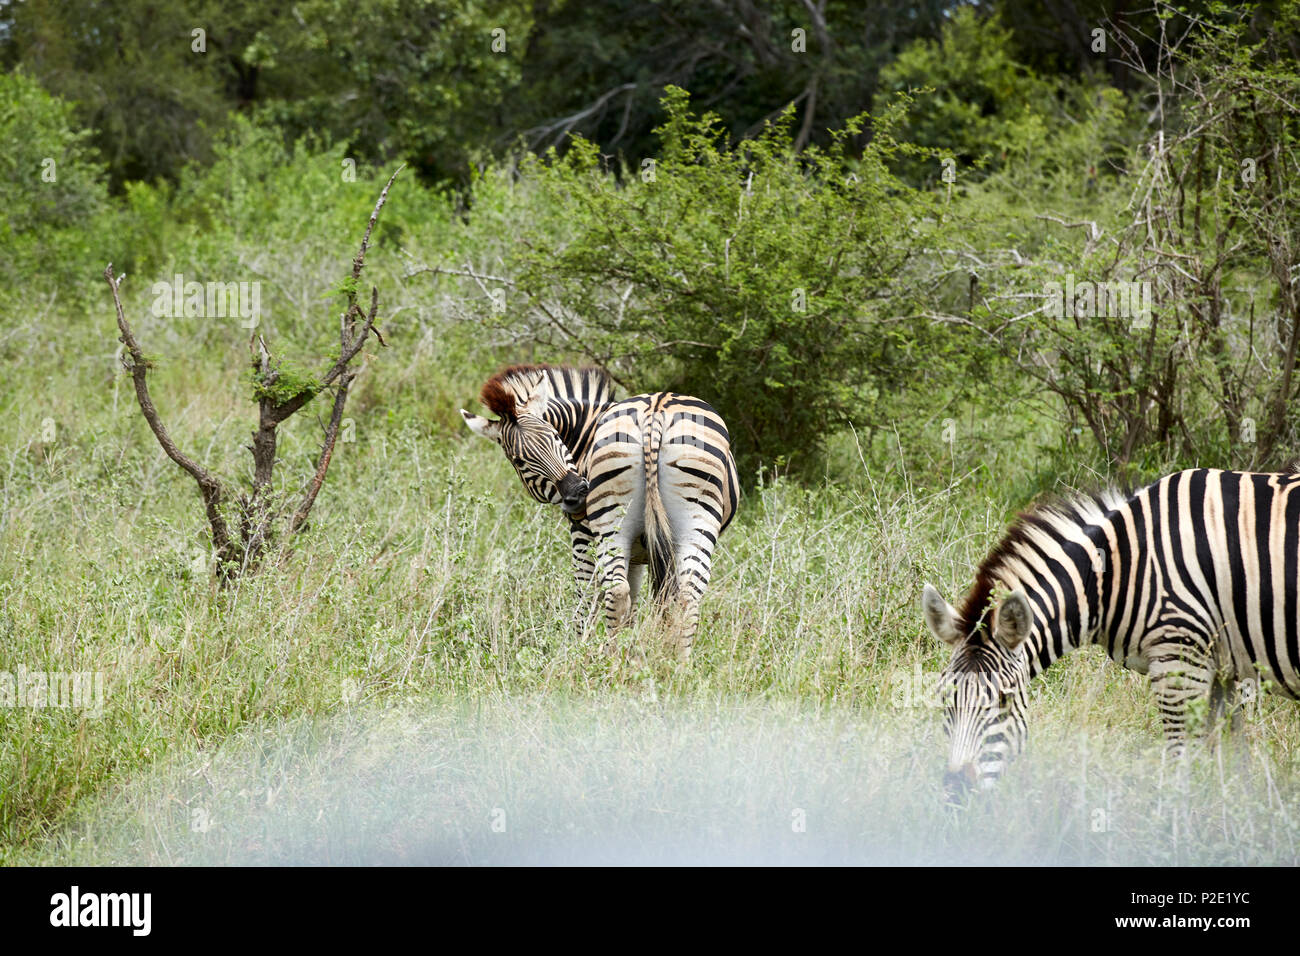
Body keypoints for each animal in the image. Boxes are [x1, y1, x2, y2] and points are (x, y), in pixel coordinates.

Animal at [462, 364, 738, 658]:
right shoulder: (642, 548)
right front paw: (641, 645)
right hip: (689, 522)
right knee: (683, 595)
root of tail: (655, 412)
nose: (579, 493)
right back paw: (673, 664)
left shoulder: (584, 531)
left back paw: (611, 660)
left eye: (556, 437)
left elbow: (592, 595)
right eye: (519, 460)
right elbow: (642, 600)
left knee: (609, 591)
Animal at [920, 468, 1300, 796]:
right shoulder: (1220, 667)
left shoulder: (1179, 662)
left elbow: (1182, 767)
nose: (956, 792)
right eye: (944, 700)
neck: (1118, 570)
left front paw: (1178, 827)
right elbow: (1233, 766)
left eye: (1004, 700)